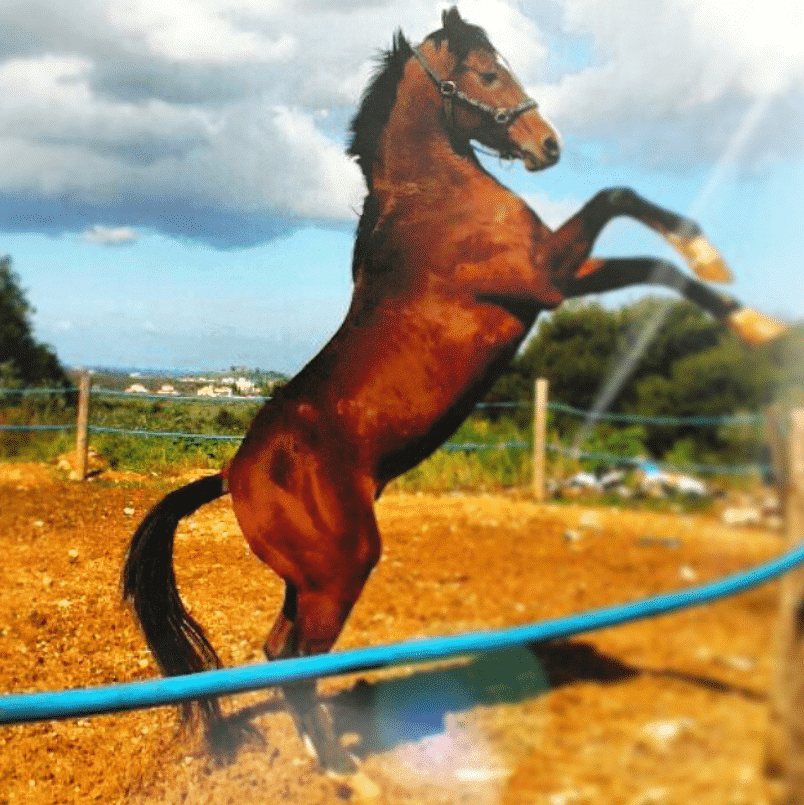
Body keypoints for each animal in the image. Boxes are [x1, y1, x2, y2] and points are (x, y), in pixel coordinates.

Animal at [124, 4, 784, 784]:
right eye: (488, 73)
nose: (547, 145)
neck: (437, 199)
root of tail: (230, 473)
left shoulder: (565, 273)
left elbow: (650, 258)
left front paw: (749, 316)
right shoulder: (548, 275)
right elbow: (623, 209)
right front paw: (742, 301)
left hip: (307, 577)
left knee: (277, 650)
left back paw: (327, 756)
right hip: (342, 568)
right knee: (298, 657)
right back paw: (341, 769)